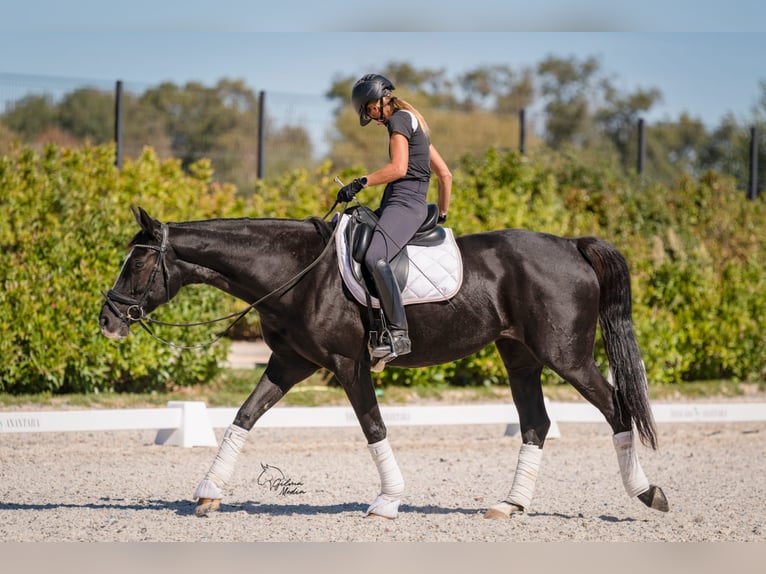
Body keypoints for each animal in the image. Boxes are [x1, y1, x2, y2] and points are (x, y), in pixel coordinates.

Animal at [99, 206, 668, 520]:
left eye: (139, 261)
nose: (107, 319)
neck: (297, 272)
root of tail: (571, 244)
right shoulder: (289, 362)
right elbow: (244, 417)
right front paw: (207, 493)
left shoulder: (347, 364)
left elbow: (373, 427)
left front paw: (388, 501)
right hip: (521, 356)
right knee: (536, 424)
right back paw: (509, 506)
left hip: (565, 356)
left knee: (617, 409)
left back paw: (648, 494)